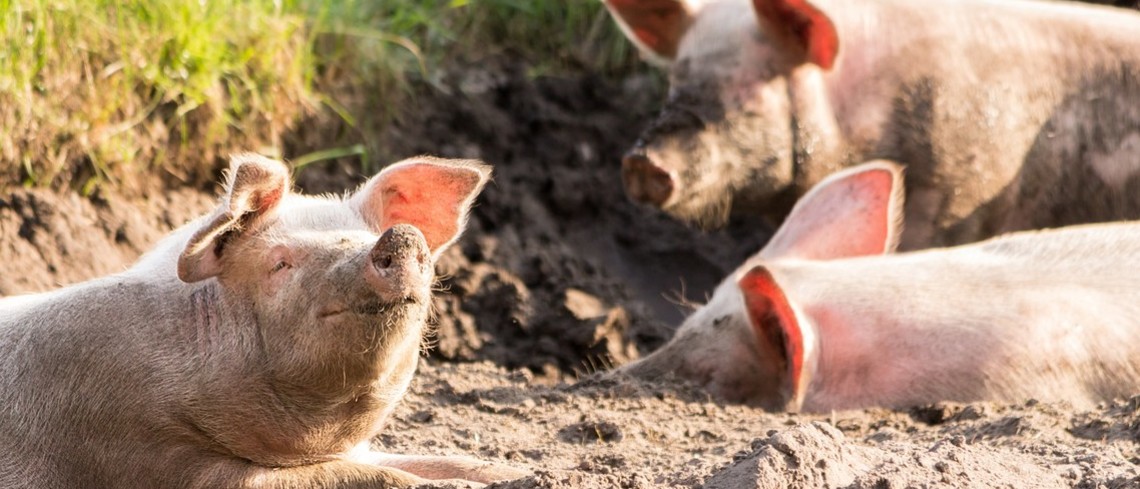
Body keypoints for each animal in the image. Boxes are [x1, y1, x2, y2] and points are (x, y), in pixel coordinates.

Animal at [0, 153, 524, 485]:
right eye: (280, 263)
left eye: (365, 235)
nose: (400, 235)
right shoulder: (146, 451)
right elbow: (357, 475)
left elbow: (436, 460)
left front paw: (513, 475)